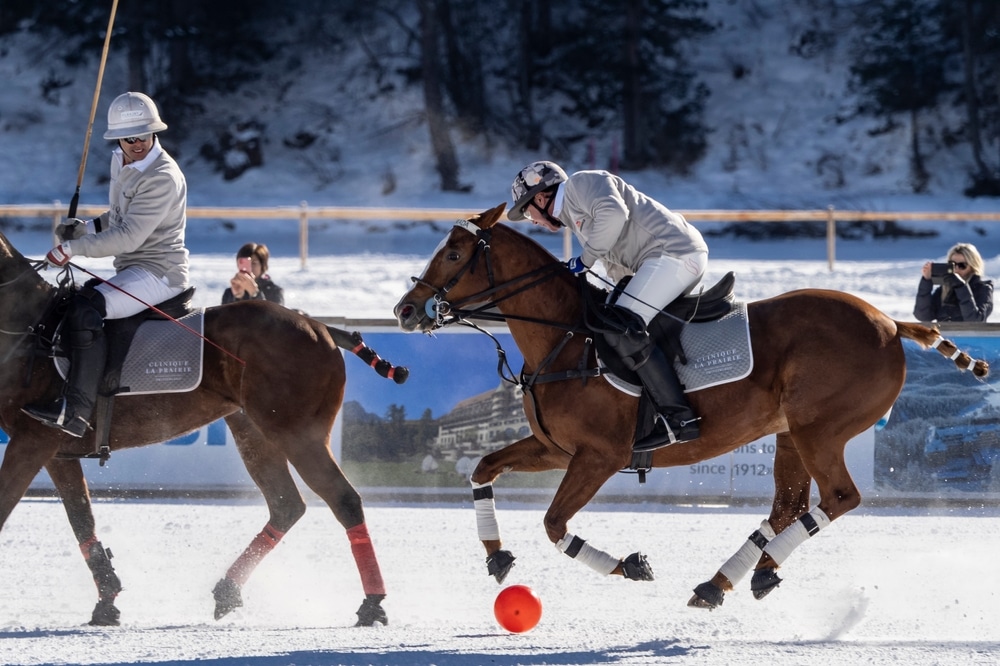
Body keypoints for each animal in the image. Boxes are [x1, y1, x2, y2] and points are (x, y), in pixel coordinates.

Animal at [0, 231, 406, 624]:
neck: (27, 323)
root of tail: (321, 326)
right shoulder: (56, 450)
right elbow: (81, 520)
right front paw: (107, 602)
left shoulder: (32, 440)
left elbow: (9, 508)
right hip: (254, 431)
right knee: (286, 505)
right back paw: (228, 591)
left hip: (297, 432)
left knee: (343, 499)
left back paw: (373, 604)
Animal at [394, 202, 988, 608]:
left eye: (454, 253)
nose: (405, 310)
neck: (566, 336)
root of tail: (891, 322)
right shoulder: (555, 448)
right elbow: (483, 468)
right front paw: (496, 556)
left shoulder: (599, 456)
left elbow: (554, 523)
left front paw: (632, 565)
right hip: (790, 432)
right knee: (787, 507)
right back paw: (729, 580)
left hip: (822, 429)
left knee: (840, 497)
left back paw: (744, 575)